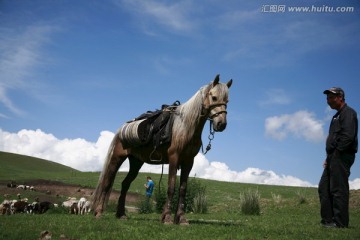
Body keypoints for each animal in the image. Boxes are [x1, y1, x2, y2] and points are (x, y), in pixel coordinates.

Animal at [91, 74, 232, 224]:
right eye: (214, 97)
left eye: (227, 100)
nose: (221, 124)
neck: (185, 127)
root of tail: (120, 130)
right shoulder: (174, 158)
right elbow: (171, 187)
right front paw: (167, 217)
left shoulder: (188, 162)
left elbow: (183, 189)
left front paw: (181, 218)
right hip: (117, 158)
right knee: (106, 183)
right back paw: (99, 212)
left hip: (136, 162)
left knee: (125, 184)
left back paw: (121, 214)